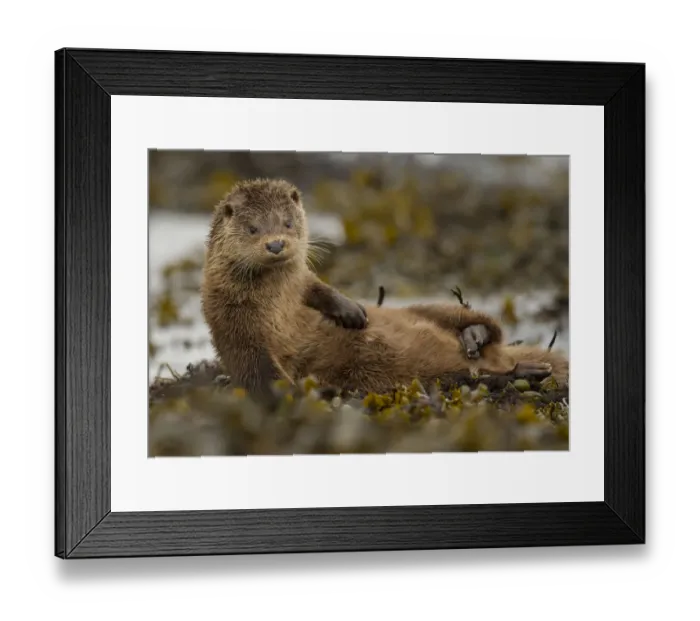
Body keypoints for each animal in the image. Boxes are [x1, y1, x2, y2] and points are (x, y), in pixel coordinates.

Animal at [201, 178, 568, 402]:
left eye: (288, 223)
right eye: (253, 228)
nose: (276, 243)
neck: (276, 305)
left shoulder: (300, 284)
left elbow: (318, 287)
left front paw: (352, 312)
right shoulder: (237, 330)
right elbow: (262, 376)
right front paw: (312, 394)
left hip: (433, 308)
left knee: (486, 327)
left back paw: (473, 337)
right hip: (420, 374)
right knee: (468, 377)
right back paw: (522, 371)